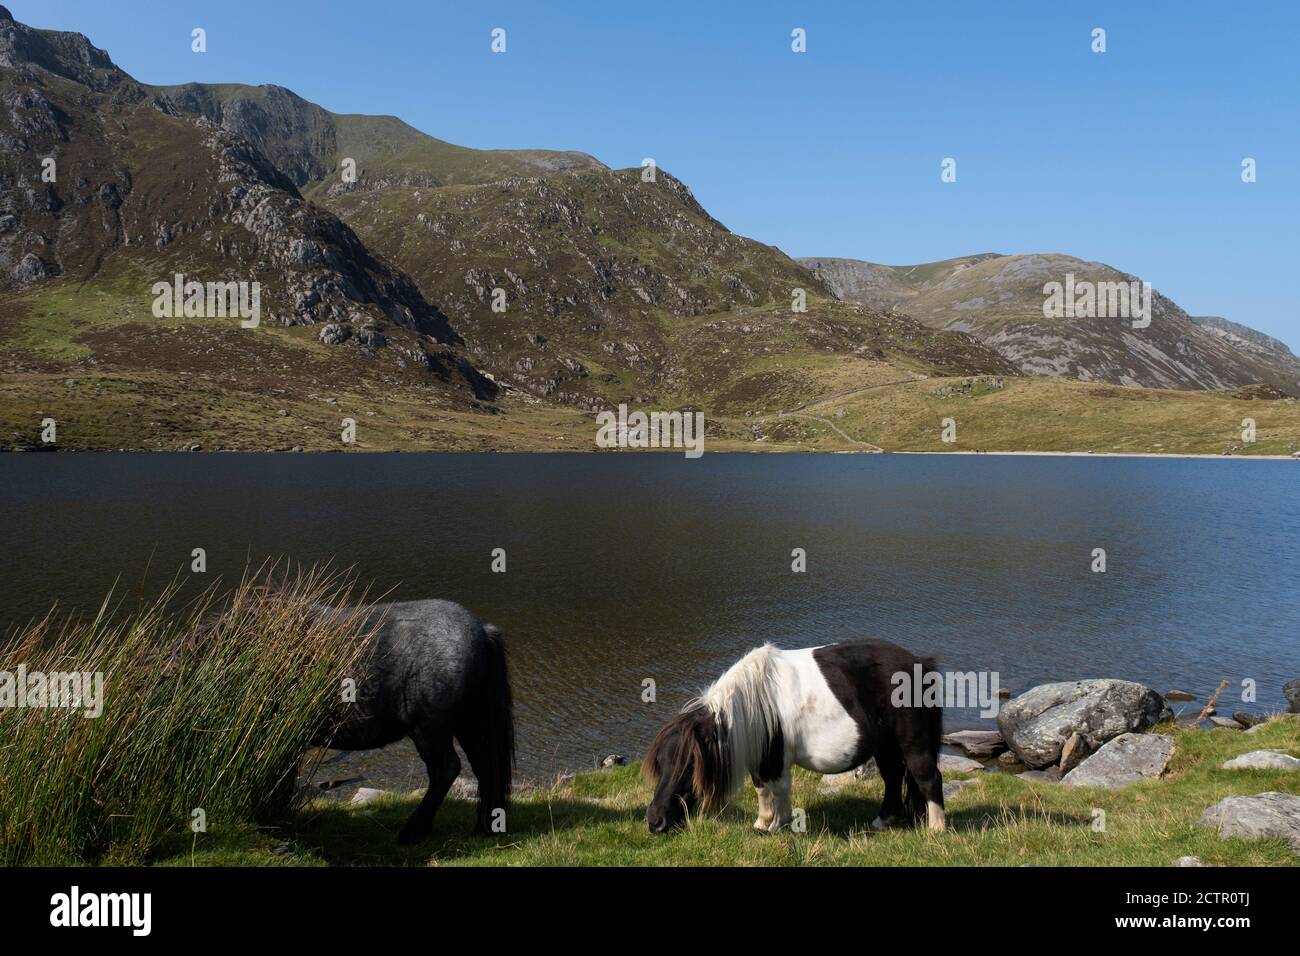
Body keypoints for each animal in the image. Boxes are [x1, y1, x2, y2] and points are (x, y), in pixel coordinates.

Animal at [310, 599, 514, 844]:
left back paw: (413, 831)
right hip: (470, 725)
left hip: (429, 730)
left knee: (446, 769)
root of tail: (483, 632)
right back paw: (481, 827)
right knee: (484, 768)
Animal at [644, 639, 945, 835]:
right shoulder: (760, 757)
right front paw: (762, 823)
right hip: (885, 746)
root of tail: (920, 663)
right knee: (893, 778)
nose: (655, 822)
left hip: (912, 742)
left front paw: (779, 826)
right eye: (661, 764)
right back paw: (883, 821)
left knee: (928, 777)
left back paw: (936, 829)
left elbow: (779, 791)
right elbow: (762, 789)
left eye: (689, 766)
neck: (754, 702)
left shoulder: (777, 761)